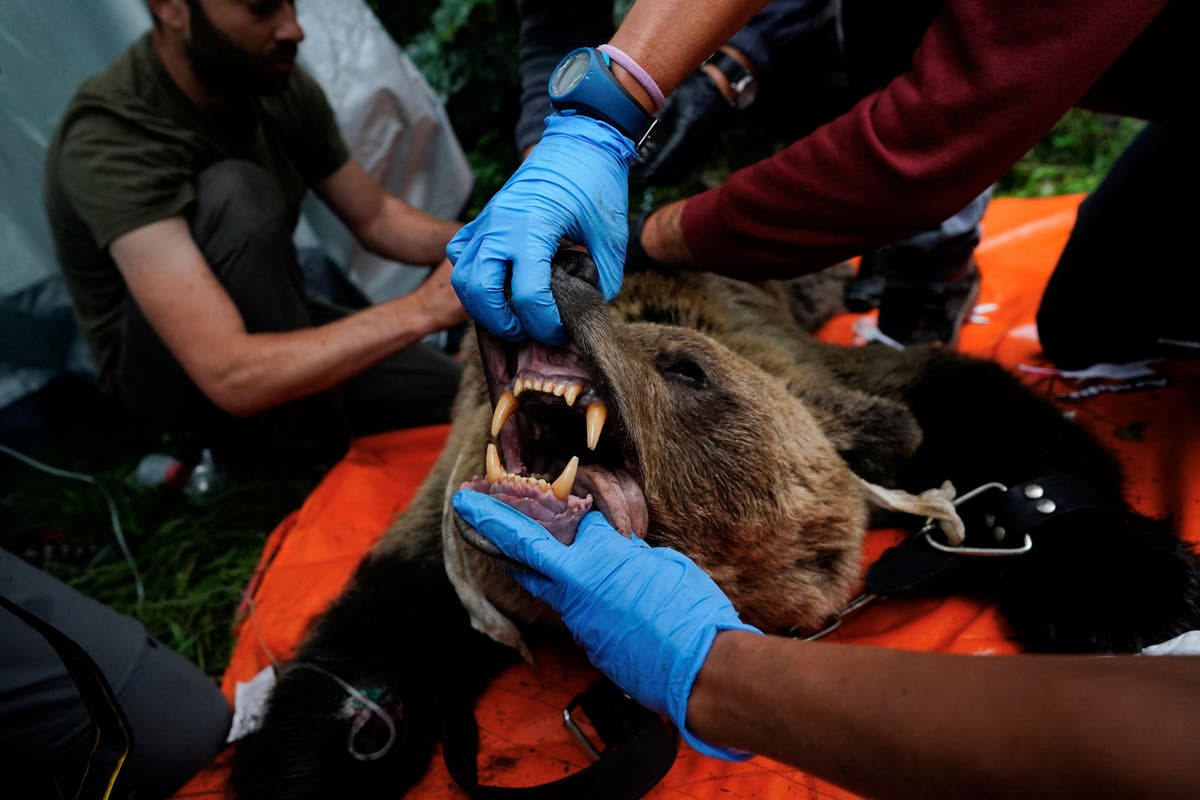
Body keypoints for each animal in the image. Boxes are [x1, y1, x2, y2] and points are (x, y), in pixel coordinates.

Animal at [230, 251, 1199, 800]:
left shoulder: (834, 384)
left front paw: (1130, 582)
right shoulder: (444, 535)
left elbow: (971, 410)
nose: (559, 273)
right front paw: (313, 757)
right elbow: (374, 643)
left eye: (687, 370)